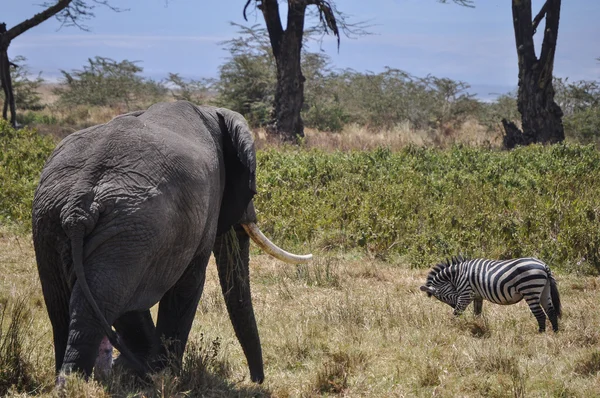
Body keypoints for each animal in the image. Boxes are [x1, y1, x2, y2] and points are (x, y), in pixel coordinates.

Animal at [30, 101, 312, 384]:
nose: (255, 379)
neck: (208, 112)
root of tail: (79, 203)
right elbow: (188, 285)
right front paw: (167, 375)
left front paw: (144, 369)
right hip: (132, 228)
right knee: (98, 301)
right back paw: (75, 383)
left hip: (55, 221)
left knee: (66, 302)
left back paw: (69, 379)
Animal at [420, 256, 560, 332]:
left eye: (443, 298)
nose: (453, 304)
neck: (456, 275)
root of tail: (544, 265)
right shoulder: (477, 296)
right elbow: (477, 313)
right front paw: (477, 326)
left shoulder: (465, 294)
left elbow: (457, 313)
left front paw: (452, 326)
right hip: (544, 290)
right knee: (551, 312)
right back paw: (554, 333)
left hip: (530, 289)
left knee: (540, 315)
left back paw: (540, 333)